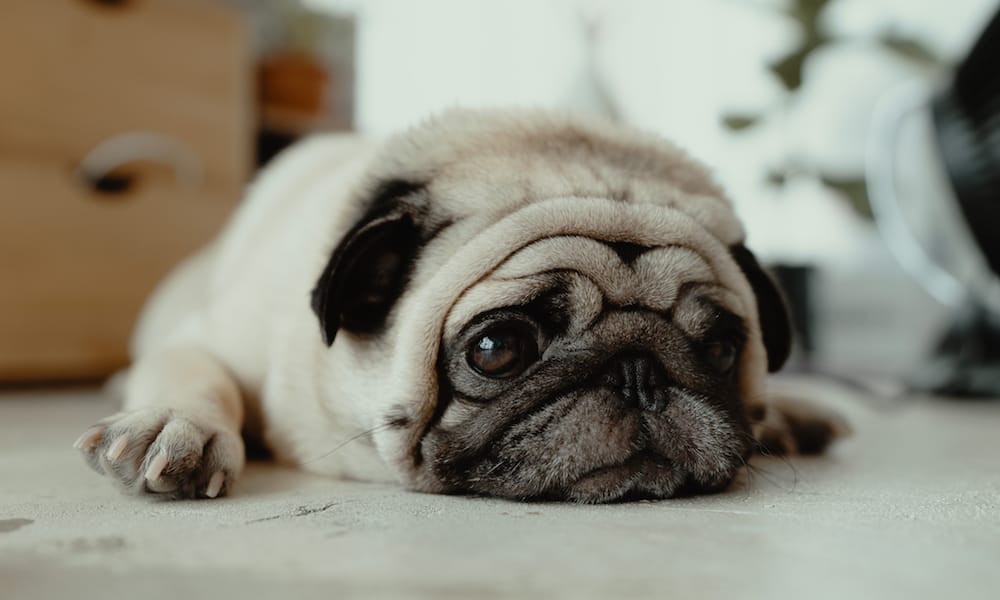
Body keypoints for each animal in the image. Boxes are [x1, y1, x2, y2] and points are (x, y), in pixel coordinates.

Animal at [74, 109, 848, 502]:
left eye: (719, 346)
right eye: (496, 349)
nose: (639, 372)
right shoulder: (208, 339)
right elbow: (194, 372)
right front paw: (178, 424)